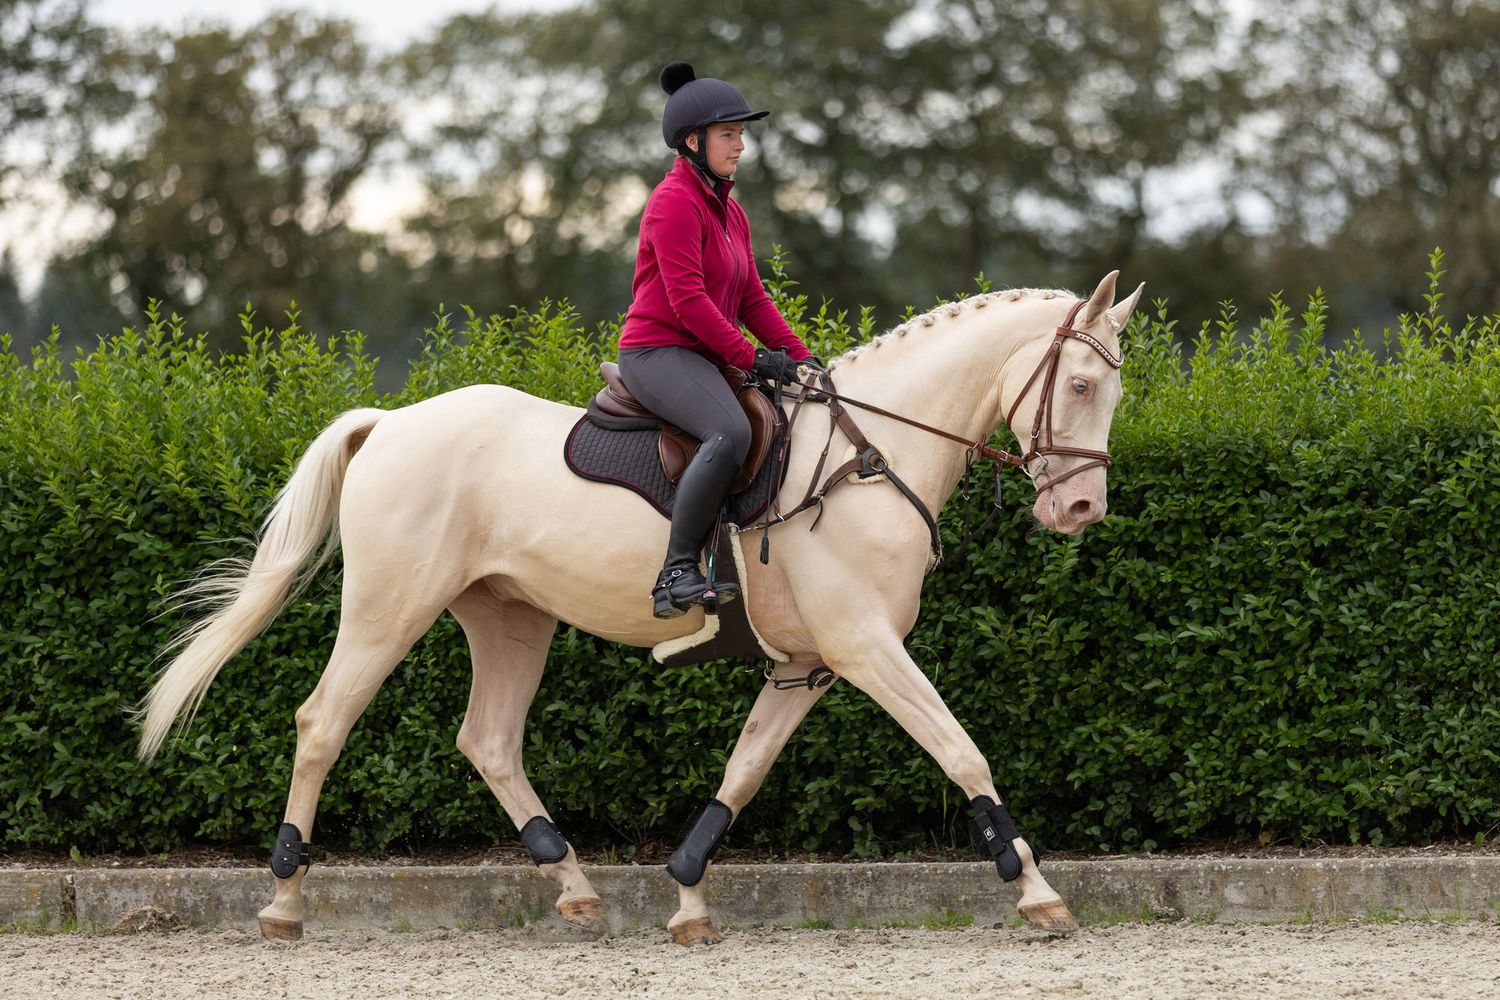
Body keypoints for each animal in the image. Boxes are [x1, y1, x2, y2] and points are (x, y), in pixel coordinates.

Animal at [136, 271, 1142, 944]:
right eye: (1080, 385)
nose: (1080, 512)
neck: (870, 454)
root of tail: (389, 421)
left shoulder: (810, 664)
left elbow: (743, 771)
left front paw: (689, 893)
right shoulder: (863, 646)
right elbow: (960, 748)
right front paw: (1037, 890)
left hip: (510, 618)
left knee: (488, 739)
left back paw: (574, 886)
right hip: (391, 608)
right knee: (323, 722)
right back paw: (283, 900)